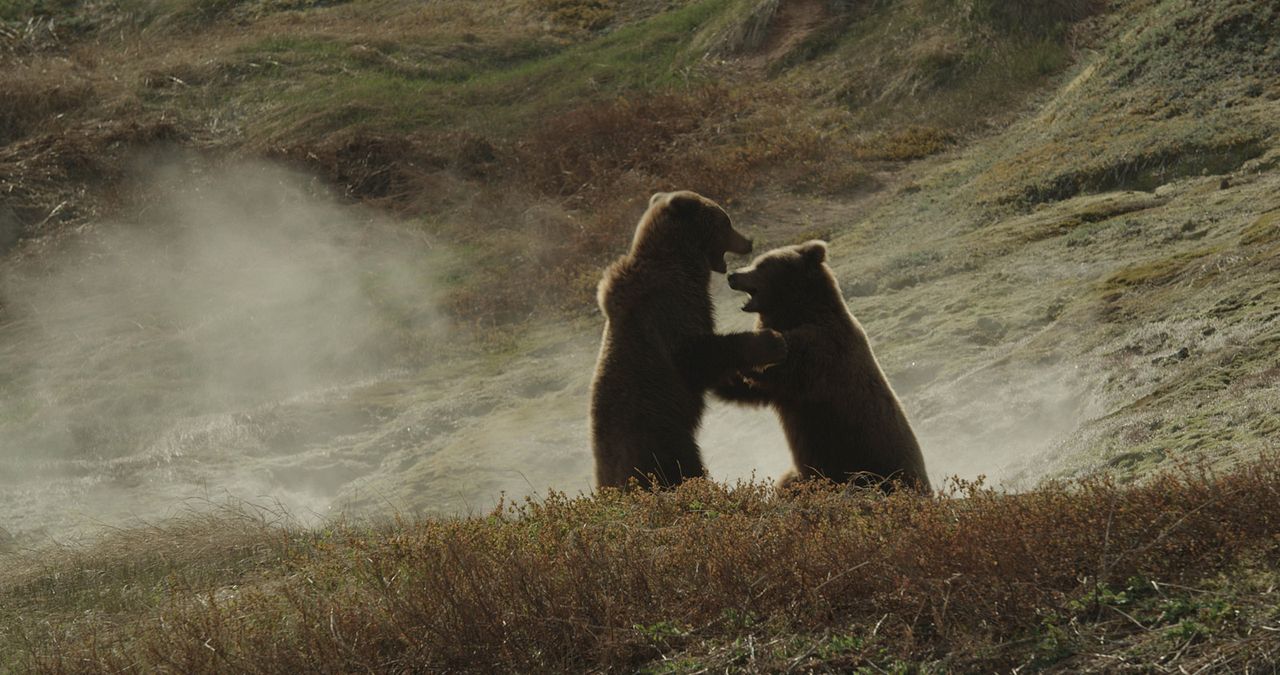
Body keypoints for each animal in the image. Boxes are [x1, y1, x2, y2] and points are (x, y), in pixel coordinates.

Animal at [591, 193, 788, 489]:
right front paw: (771, 341)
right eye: (725, 221)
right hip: (661, 435)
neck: (683, 263)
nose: (748, 241)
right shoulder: (669, 310)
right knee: (683, 468)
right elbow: (696, 353)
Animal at [711, 240, 931, 494]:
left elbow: (781, 367)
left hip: (869, 463)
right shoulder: (784, 391)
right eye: (756, 261)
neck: (799, 312)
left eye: (763, 264)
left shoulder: (821, 351)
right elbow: (749, 390)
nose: (733, 276)